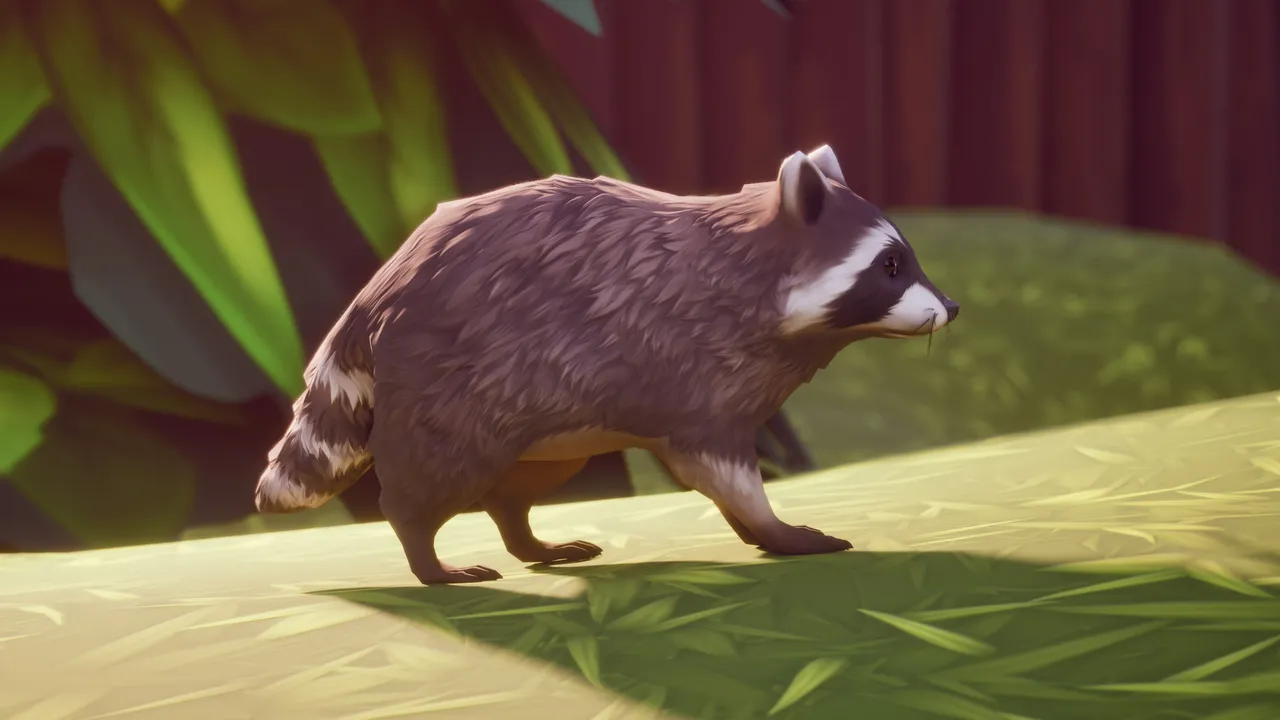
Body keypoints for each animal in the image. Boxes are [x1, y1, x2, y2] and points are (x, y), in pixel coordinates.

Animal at [255, 145, 958, 584]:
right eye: (890, 266)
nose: (951, 306)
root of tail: (381, 286)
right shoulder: (685, 360)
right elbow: (716, 465)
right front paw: (773, 527)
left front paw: (760, 530)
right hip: (457, 372)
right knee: (436, 473)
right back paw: (424, 552)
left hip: (541, 413)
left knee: (519, 484)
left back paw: (526, 537)